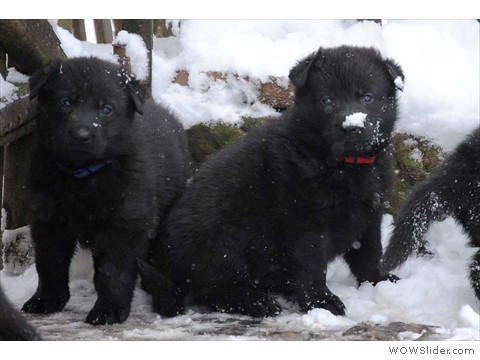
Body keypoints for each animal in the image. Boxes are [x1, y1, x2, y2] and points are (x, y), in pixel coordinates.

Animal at [22, 57, 188, 324]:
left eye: (106, 109)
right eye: (65, 102)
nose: (81, 134)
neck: (81, 175)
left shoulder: (125, 225)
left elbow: (115, 271)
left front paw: (108, 310)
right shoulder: (48, 220)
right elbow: (49, 263)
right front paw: (46, 299)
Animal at [148, 45, 404, 318]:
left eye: (367, 97)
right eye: (327, 100)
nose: (352, 127)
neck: (342, 164)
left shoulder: (369, 214)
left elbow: (369, 253)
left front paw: (379, 281)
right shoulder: (305, 224)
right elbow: (312, 267)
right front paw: (322, 302)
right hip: (222, 241)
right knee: (211, 289)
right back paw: (256, 301)